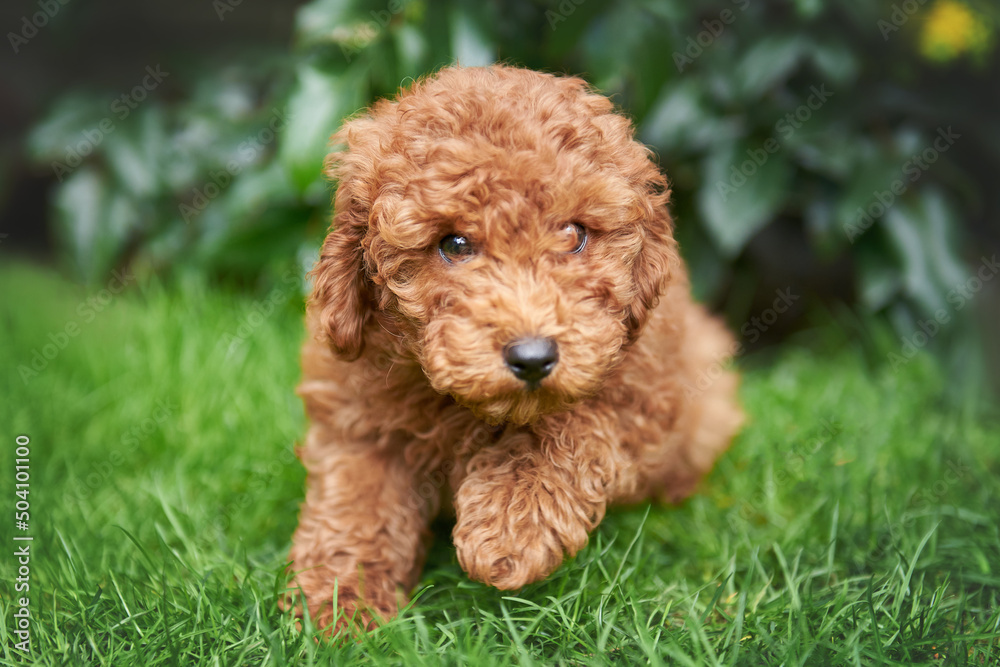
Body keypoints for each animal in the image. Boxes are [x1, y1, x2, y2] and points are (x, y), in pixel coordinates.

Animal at [286, 65, 740, 636]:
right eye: (454, 245)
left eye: (573, 233)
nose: (532, 358)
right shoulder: (358, 414)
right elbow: (356, 504)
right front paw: (338, 605)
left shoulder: (643, 383)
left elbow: (574, 423)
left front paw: (511, 525)